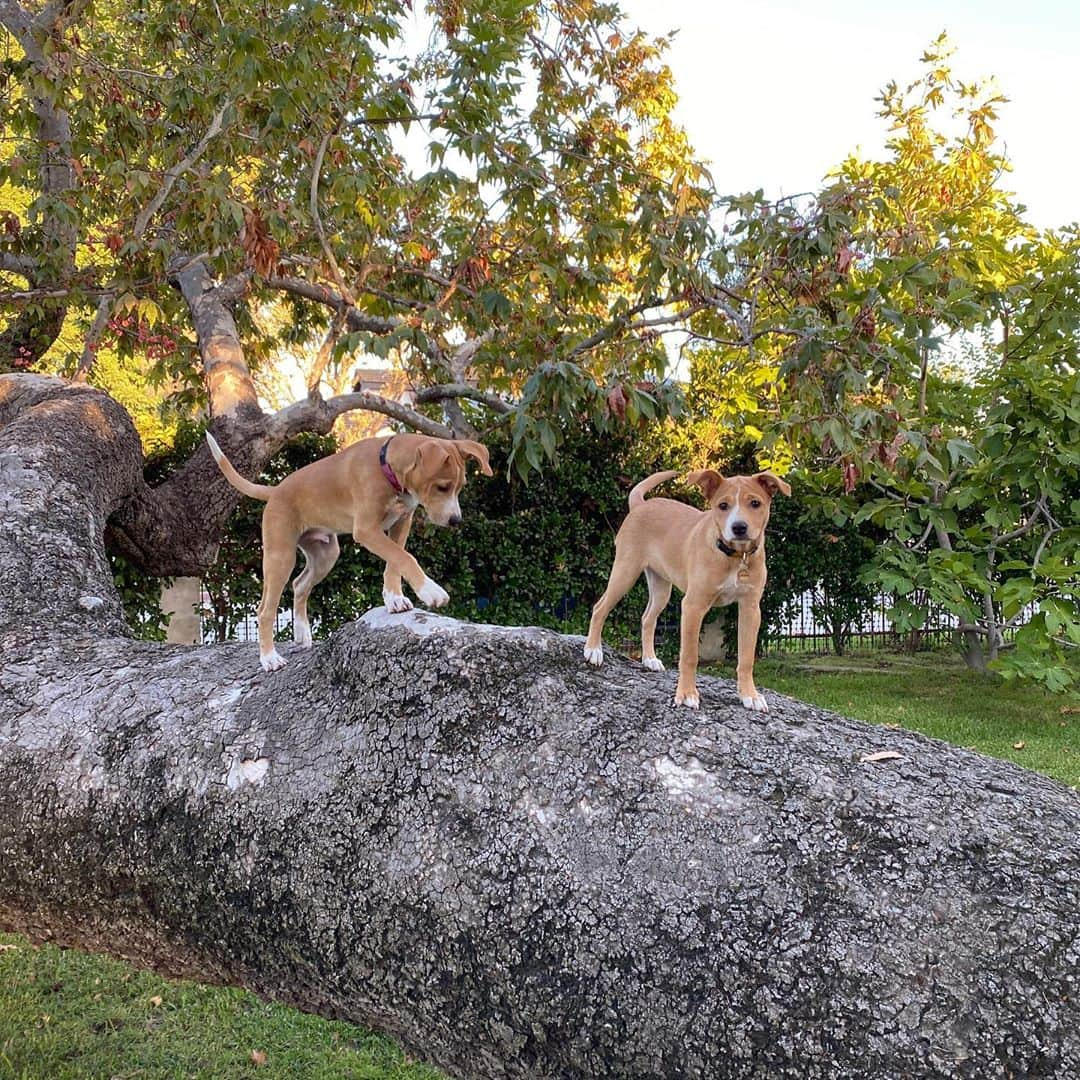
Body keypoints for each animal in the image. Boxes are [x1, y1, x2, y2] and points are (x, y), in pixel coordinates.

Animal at [204, 427, 492, 665]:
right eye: (442, 487)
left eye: (460, 487)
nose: (456, 521)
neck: (386, 468)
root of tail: (274, 491)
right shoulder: (367, 530)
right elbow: (404, 557)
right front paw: (430, 591)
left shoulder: (401, 523)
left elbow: (395, 561)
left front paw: (394, 598)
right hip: (280, 556)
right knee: (265, 609)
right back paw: (269, 658)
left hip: (326, 554)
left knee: (300, 584)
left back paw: (302, 633)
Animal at [583, 470, 794, 708]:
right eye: (723, 505)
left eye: (755, 503)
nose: (739, 527)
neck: (734, 556)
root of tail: (641, 505)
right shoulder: (693, 606)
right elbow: (690, 656)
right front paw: (686, 694)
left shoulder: (751, 609)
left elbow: (747, 657)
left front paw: (750, 695)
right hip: (625, 572)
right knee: (600, 607)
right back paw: (593, 650)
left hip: (660, 587)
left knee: (647, 618)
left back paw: (649, 659)